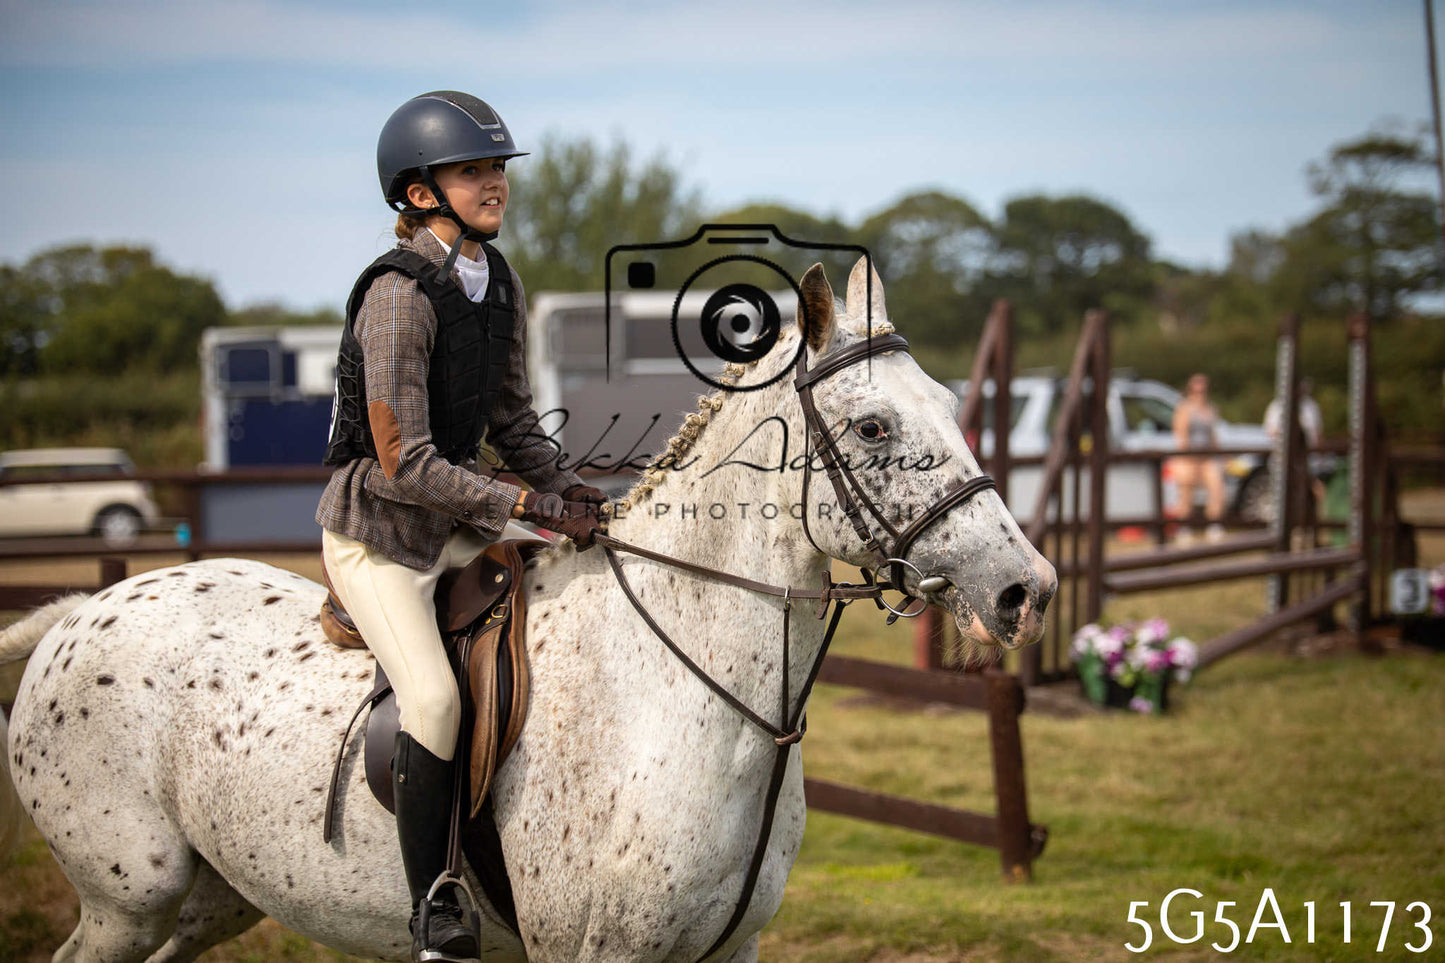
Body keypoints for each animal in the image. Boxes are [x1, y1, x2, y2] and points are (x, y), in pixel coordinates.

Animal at [1, 258, 1056, 963]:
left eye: (953, 403)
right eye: (873, 427)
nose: (1025, 589)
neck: (679, 695)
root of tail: (83, 611)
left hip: (210, 896)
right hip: (128, 896)